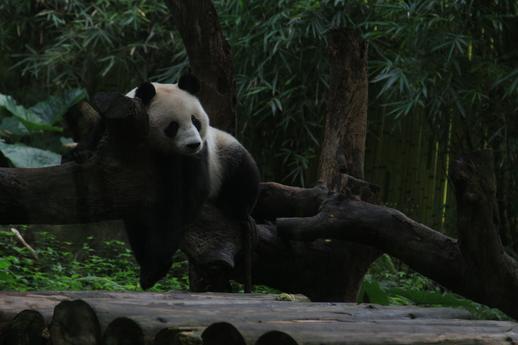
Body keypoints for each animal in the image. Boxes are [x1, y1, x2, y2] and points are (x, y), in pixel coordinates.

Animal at [128, 73, 262, 290]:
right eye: (172, 126)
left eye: (195, 120)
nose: (193, 144)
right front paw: (150, 272)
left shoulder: (199, 156)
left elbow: (185, 199)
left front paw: (156, 265)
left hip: (224, 154)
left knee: (243, 173)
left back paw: (237, 210)